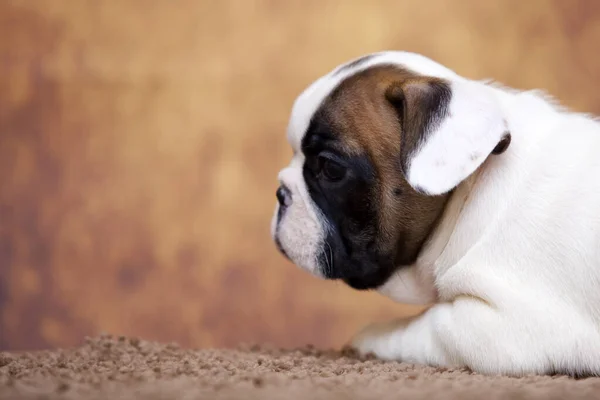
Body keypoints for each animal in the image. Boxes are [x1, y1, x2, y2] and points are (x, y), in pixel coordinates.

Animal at [270, 50, 600, 376]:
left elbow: (423, 326)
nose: (281, 192)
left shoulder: (500, 327)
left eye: (330, 168)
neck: (470, 193)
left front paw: (370, 337)